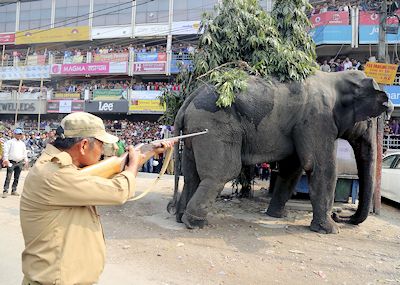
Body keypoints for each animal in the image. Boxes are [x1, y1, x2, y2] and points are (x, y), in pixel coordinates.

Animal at [170, 70, 390, 233]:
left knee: (191, 175)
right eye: (371, 120)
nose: (340, 214)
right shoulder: (318, 119)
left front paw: (276, 216)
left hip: (194, 130)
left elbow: (293, 168)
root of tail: (190, 98)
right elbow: (320, 167)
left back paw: (180, 218)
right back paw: (196, 223)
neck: (335, 78)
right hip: (214, 125)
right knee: (223, 173)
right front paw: (330, 230)